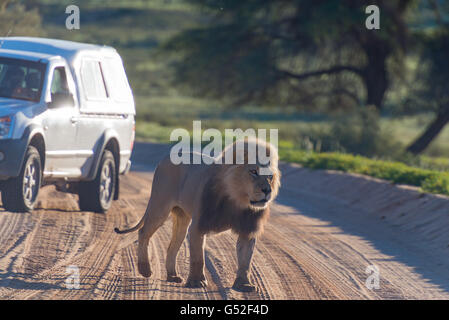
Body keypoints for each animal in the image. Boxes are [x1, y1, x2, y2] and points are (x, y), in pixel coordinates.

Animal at [114, 138, 278, 292]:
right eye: (253, 172)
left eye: (270, 176)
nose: (267, 190)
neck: (237, 200)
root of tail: (164, 158)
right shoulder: (198, 225)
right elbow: (198, 258)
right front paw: (196, 282)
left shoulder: (247, 230)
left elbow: (245, 261)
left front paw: (244, 284)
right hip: (159, 206)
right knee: (143, 232)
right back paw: (145, 269)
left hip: (182, 218)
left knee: (172, 246)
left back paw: (172, 276)